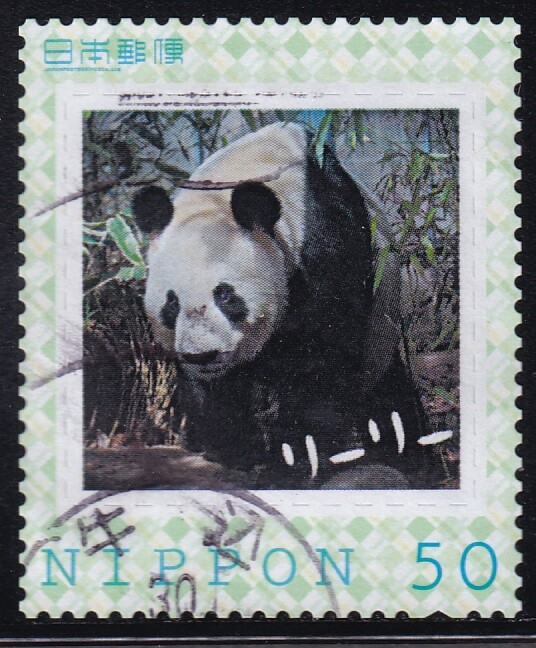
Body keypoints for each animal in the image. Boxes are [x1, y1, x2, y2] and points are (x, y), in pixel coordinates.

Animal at [132, 122, 436, 489]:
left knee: (386, 390)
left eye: (225, 295)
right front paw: (232, 451)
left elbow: (320, 357)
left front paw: (298, 463)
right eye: (171, 304)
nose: (203, 355)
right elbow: (214, 387)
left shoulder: (323, 236)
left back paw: (409, 457)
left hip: (382, 321)